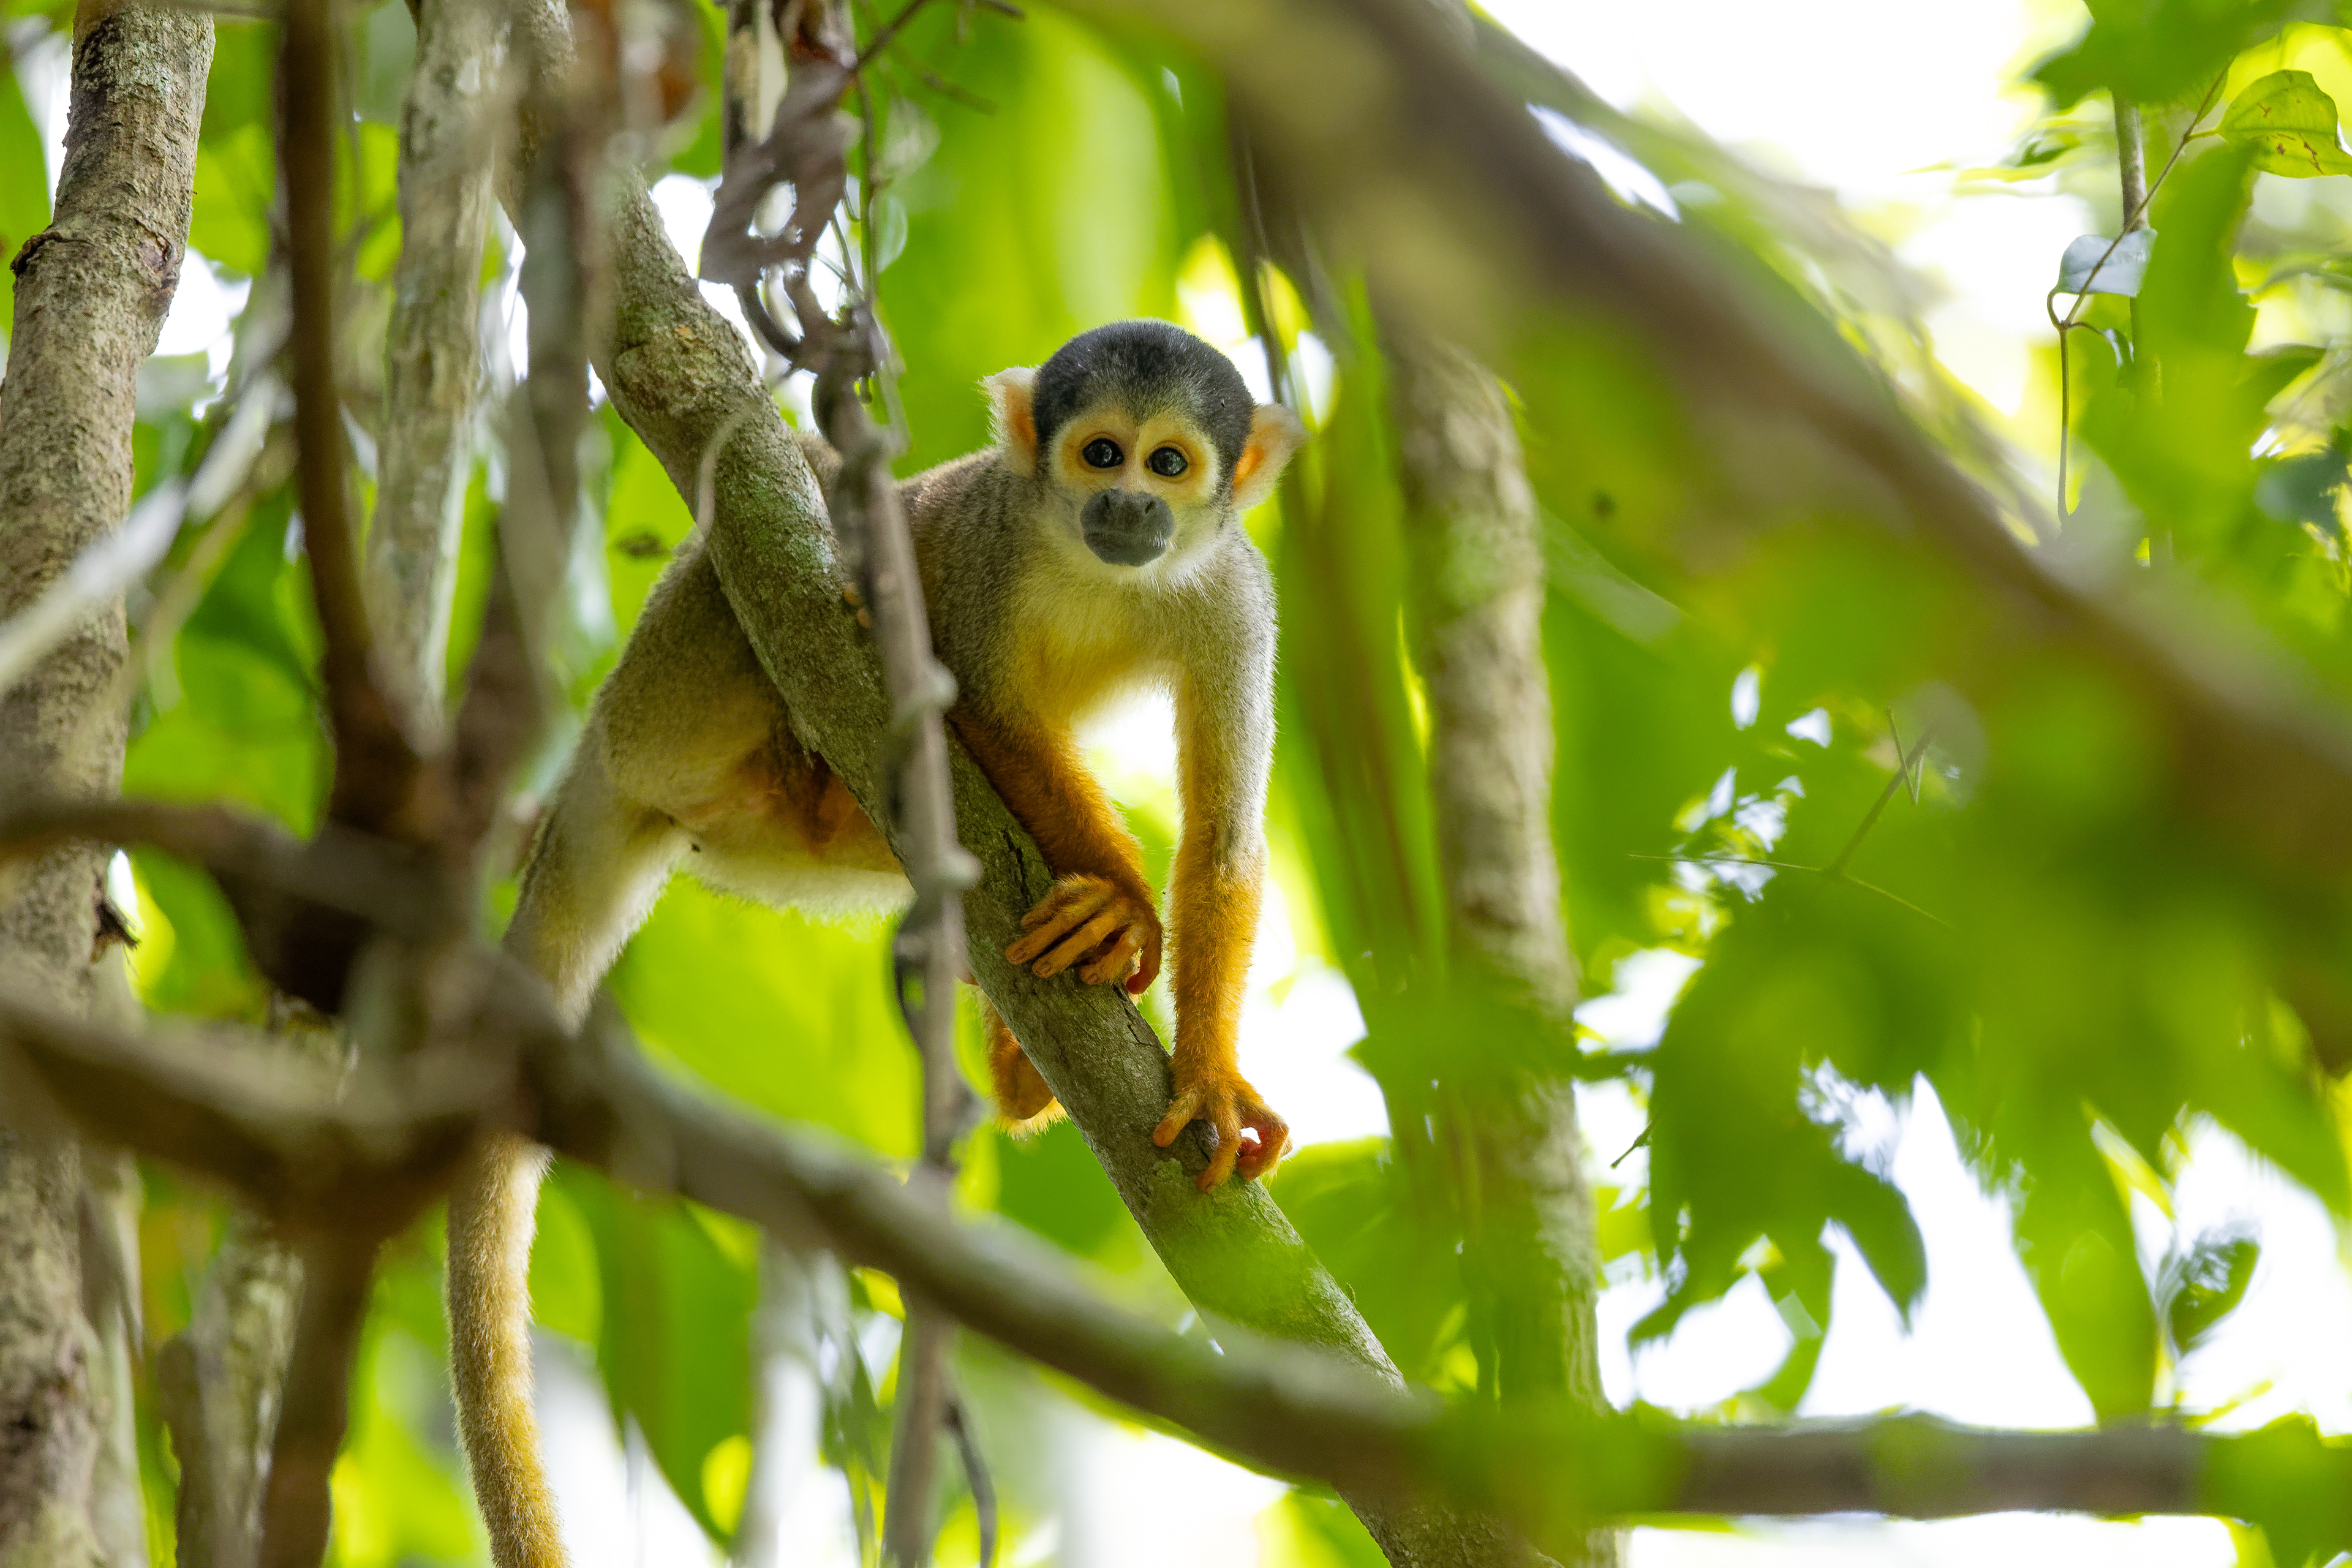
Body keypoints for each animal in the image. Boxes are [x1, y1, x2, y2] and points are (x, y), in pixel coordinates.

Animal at [446, 319, 1305, 1568]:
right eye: (1101, 453)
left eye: (1171, 464)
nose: (1129, 508)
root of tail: (597, 751)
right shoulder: (996, 543)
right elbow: (990, 709)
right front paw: (1131, 911)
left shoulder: (1240, 599)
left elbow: (1227, 845)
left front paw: (1209, 1080)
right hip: (676, 690)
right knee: (800, 520)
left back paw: (1011, 1059)